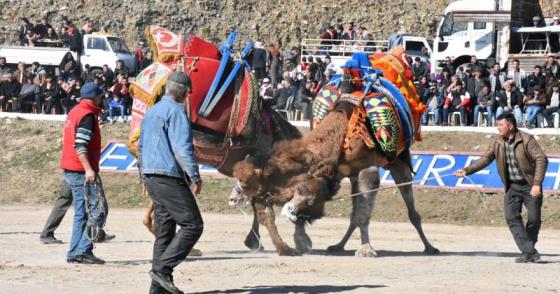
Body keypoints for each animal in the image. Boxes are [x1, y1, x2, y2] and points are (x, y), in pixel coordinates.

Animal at [230, 101, 440, 258]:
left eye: (246, 183)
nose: (233, 198)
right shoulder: (347, 172)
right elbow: (357, 214)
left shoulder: (367, 169)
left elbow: (362, 214)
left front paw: (366, 250)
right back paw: (337, 246)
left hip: (399, 164)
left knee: (412, 211)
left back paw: (430, 247)